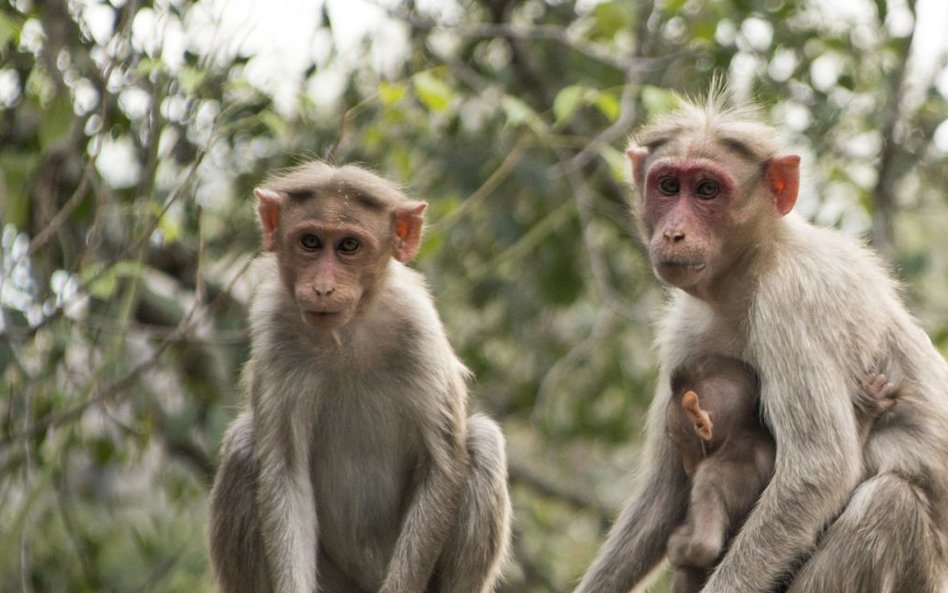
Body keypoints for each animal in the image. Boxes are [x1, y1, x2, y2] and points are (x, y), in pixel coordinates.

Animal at [209, 161, 512, 592]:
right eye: (311, 242)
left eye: (349, 246)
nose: (322, 288)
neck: (346, 334)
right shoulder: (273, 329)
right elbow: (284, 471)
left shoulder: (419, 326)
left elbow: (441, 466)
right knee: (241, 447)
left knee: (484, 441)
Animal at [664, 356, 900, 592]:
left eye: (676, 439)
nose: (687, 467)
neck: (743, 434)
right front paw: (869, 406)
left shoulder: (706, 477)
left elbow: (705, 545)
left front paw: (675, 545)